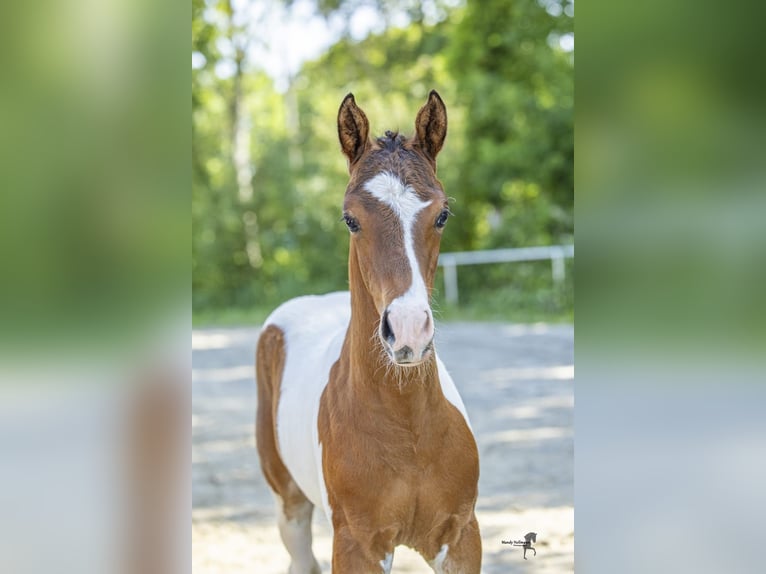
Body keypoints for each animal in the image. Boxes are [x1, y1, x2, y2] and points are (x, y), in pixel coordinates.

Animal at [256, 91, 480, 573]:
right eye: (350, 219)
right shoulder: (358, 546)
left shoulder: (461, 538)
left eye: (443, 215)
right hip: (290, 505)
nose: (409, 331)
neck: (408, 428)